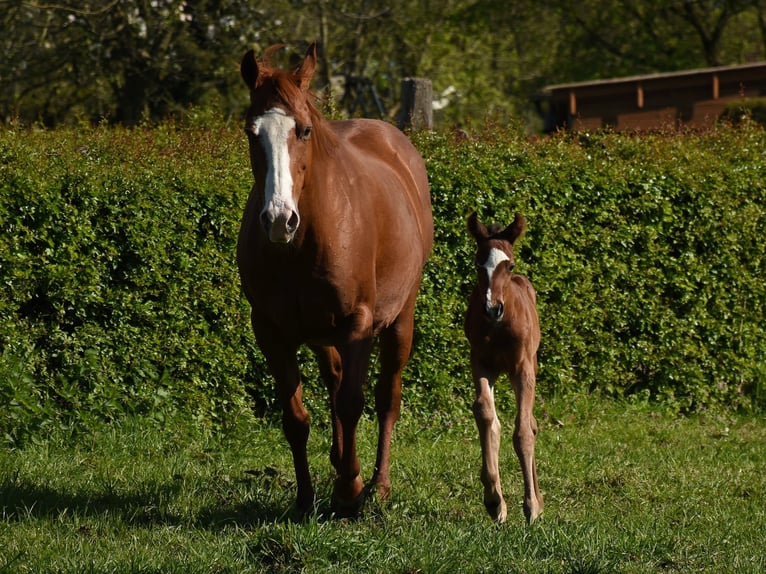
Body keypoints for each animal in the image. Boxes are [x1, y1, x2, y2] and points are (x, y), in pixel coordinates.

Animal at [237, 42, 433, 517]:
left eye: (304, 130)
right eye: (252, 132)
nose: (279, 220)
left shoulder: (356, 324)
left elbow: (352, 403)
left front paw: (348, 493)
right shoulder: (271, 332)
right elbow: (296, 417)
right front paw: (306, 498)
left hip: (400, 320)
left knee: (385, 397)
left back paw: (376, 484)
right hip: (319, 333)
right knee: (335, 380)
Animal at [464, 212, 543, 524]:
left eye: (509, 265)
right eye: (478, 263)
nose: (492, 308)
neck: (498, 327)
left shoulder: (522, 368)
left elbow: (522, 433)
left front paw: (531, 507)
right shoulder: (481, 363)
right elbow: (487, 415)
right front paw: (494, 500)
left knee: (531, 424)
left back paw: (538, 499)